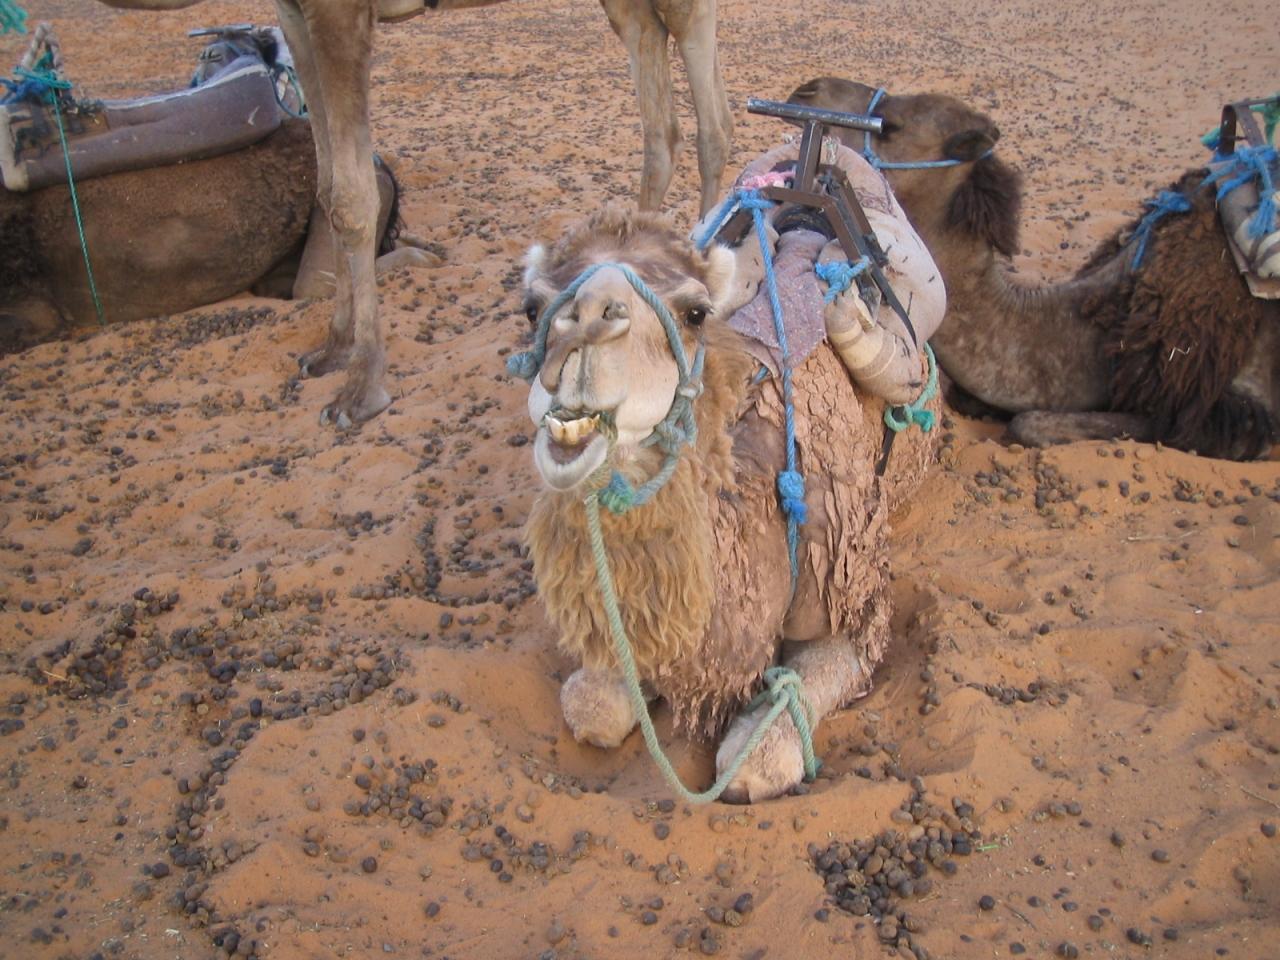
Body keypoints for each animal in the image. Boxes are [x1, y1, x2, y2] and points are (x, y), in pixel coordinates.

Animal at [90, 0, 732, 428]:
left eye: (215, 53)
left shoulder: (341, 11)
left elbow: (352, 197)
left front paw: (360, 392)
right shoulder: (295, 11)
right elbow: (327, 182)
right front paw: (331, 350)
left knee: (713, 127)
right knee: (662, 128)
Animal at [516, 202, 939, 802]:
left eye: (695, 313)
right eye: (532, 308)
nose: (585, 329)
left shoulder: (847, 581)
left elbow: (757, 759)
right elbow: (591, 706)